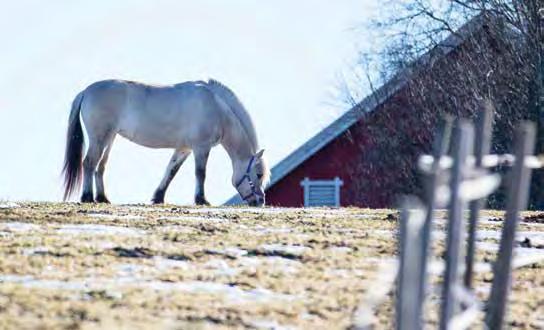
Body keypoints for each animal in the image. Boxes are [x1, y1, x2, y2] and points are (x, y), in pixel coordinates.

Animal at [62, 78, 270, 205]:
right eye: (258, 174)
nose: (260, 202)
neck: (216, 107)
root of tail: (85, 92)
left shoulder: (184, 149)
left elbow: (170, 171)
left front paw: (158, 197)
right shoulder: (201, 148)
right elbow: (200, 173)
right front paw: (201, 200)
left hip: (109, 139)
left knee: (100, 166)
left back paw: (102, 198)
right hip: (99, 138)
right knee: (89, 163)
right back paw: (87, 197)